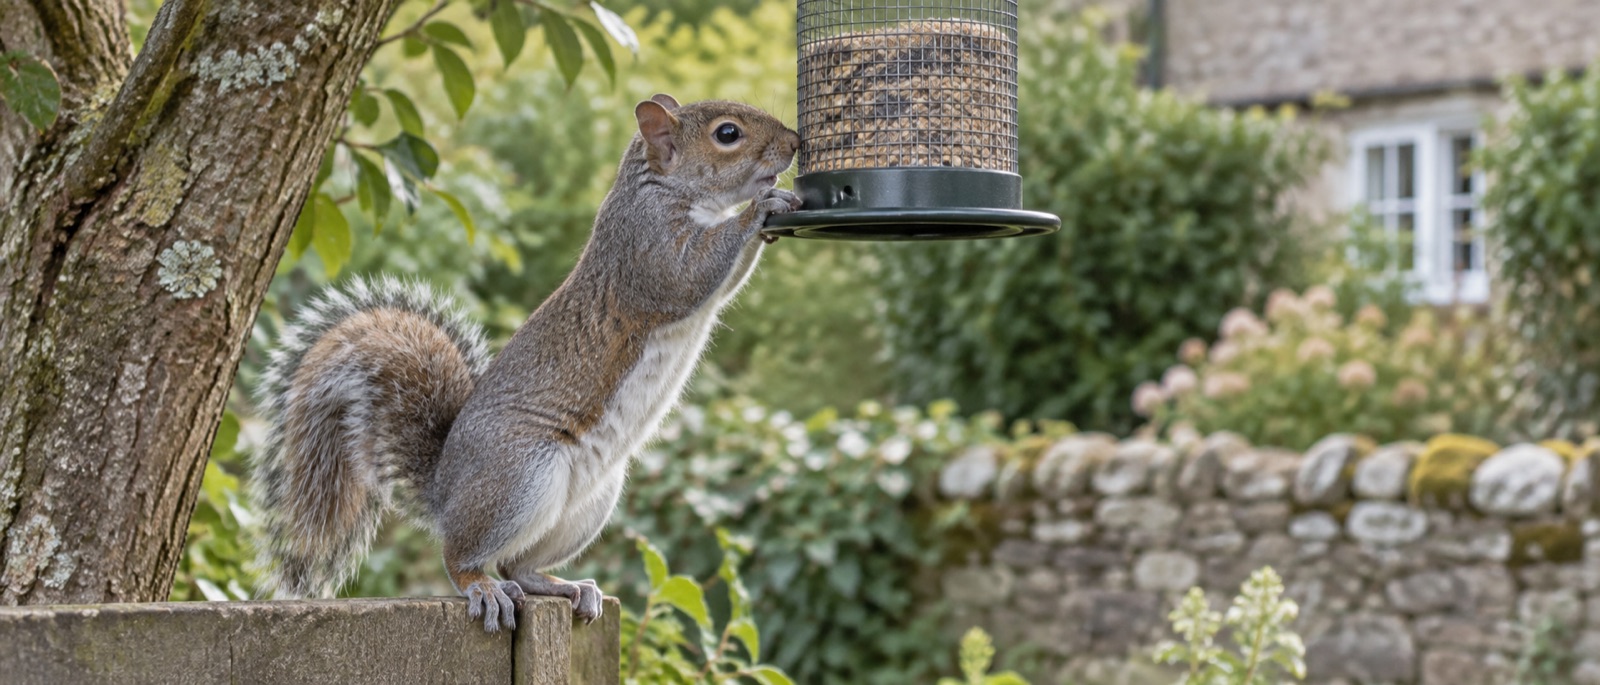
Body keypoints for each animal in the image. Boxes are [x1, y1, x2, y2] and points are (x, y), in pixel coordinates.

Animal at [249, 94, 802, 632]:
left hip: (590, 501)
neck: (664, 189)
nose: (795, 142)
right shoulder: (646, 252)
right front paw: (759, 208)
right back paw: (481, 587)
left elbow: (722, 285)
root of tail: (444, 493)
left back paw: (565, 586)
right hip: (520, 474)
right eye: (727, 133)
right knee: (466, 557)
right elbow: (692, 276)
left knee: (518, 563)